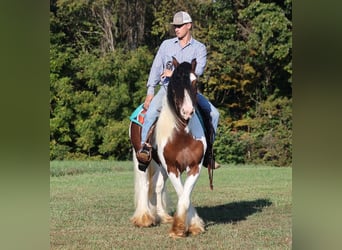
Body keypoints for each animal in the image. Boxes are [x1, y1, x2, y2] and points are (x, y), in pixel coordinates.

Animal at [129, 58, 206, 238]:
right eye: (175, 82)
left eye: (195, 82)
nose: (187, 111)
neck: (182, 134)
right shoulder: (172, 167)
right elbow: (182, 193)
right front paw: (179, 228)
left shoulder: (195, 167)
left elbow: (185, 195)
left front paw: (193, 224)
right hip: (141, 159)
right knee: (145, 184)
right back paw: (144, 218)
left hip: (160, 165)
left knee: (157, 186)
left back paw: (162, 215)